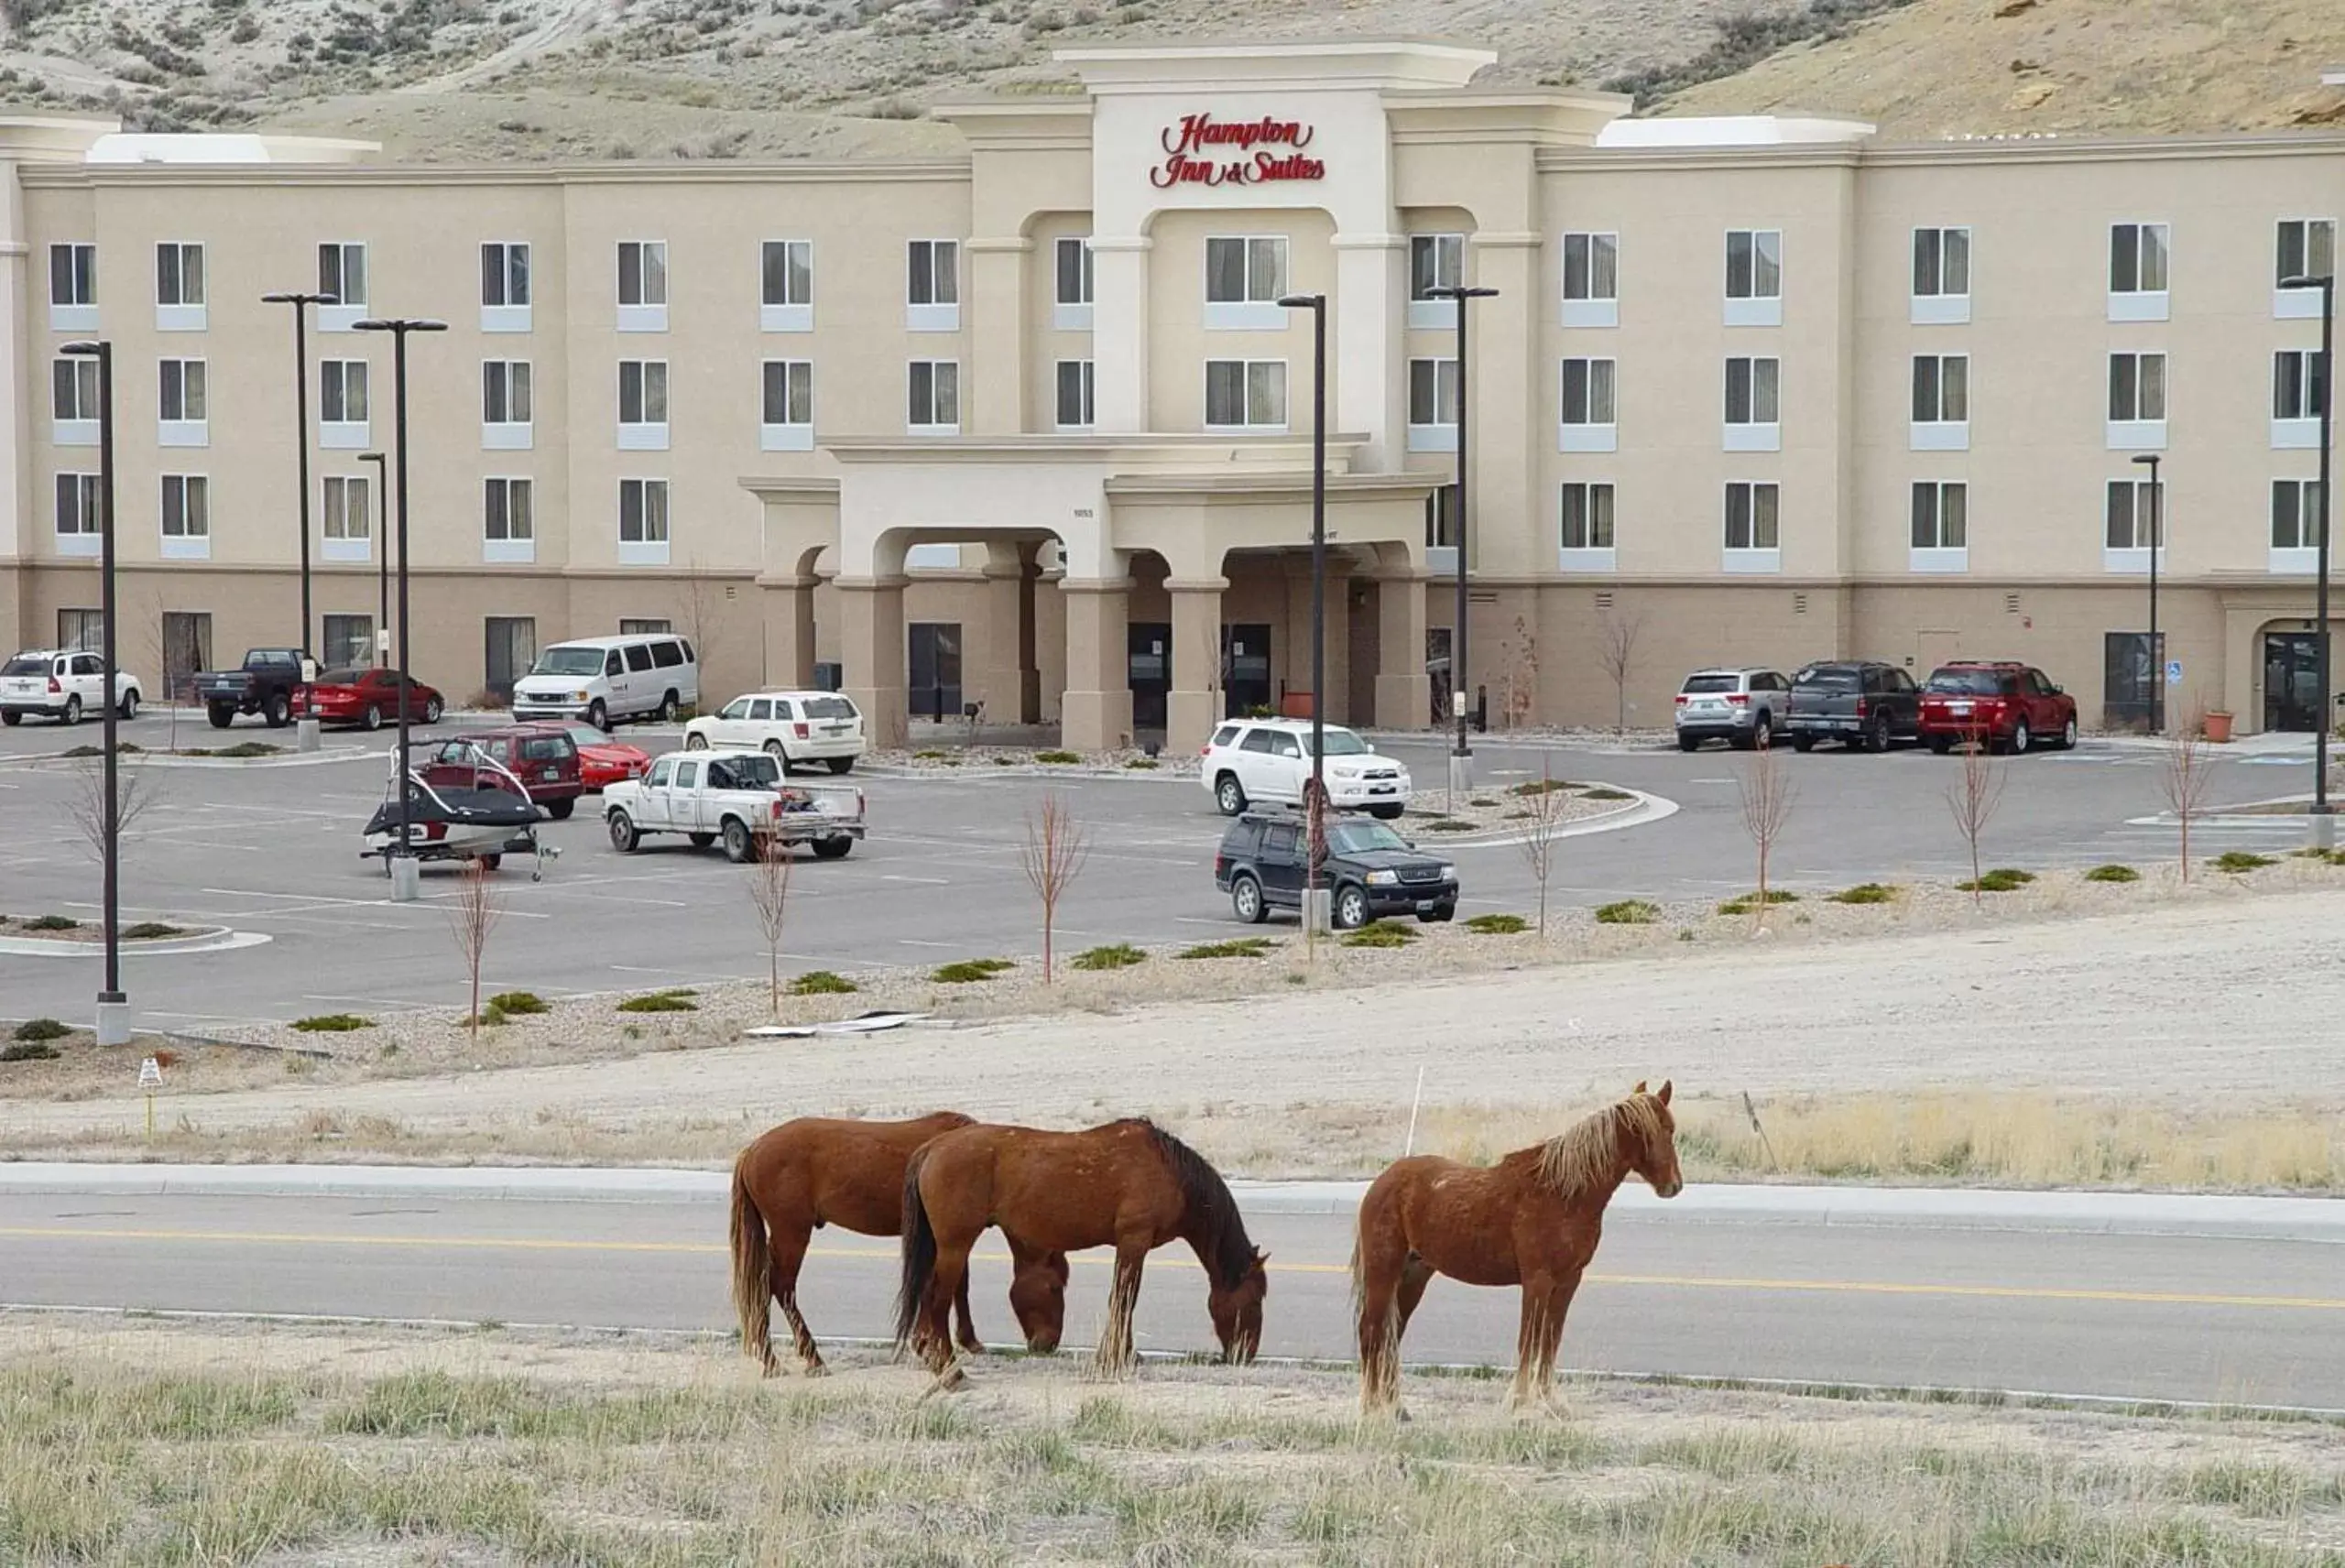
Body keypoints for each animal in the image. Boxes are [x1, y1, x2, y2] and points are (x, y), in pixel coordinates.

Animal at [722, 1105, 1074, 1377]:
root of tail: (752, 1149)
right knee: (780, 1286)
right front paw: (956, 1342)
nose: (1049, 1344)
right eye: (1055, 1287)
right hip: (792, 1232)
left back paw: (770, 1357)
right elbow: (956, 1285)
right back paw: (806, 1358)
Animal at [890, 1110, 1266, 1377]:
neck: (1169, 1171)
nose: (1245, 1354)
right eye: (1256, 1297)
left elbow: (1123, 1298)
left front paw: (1125, 1353)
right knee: (936, 1296)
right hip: (955, 1244)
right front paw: (1115, 1355)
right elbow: (1124, 1298)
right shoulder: (1134, 1241)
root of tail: (931, 1148)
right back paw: (943, 1361)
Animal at [1350, 1083, 1678, 1415]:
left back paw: (1396, 1406)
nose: (1674, 1186)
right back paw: (1370, 1406)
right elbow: (1528, 1342)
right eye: (1663, 1129)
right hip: (1383, 1272)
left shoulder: (1568, 1282)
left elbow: (1550, 1341)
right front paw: (1520, 1403)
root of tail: (1383, 1181)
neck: (1564, 1193)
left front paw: (1550, 1400)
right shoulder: (1537, 1280)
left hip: (1414, 1276)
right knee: (1372, 1332)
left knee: (1391, 1335)